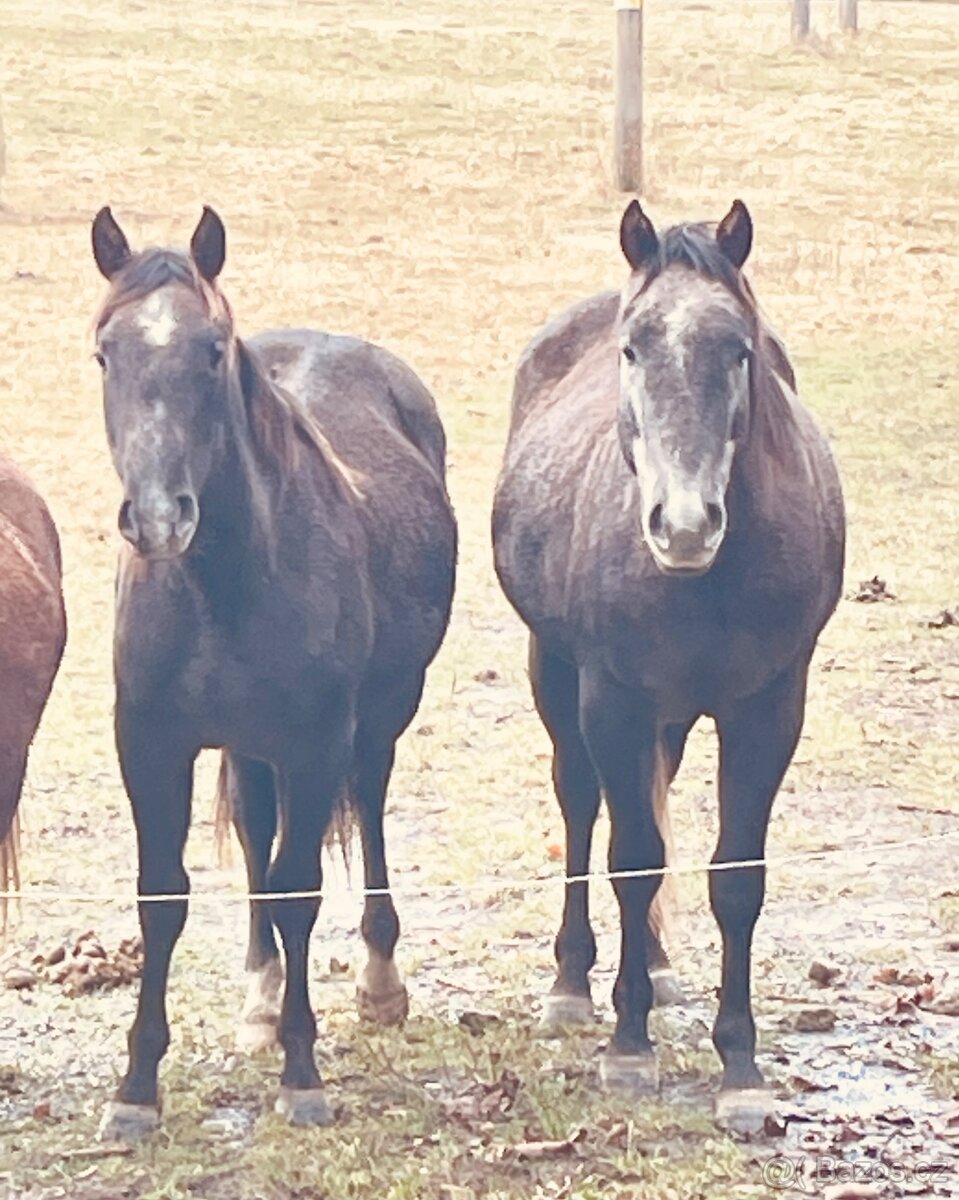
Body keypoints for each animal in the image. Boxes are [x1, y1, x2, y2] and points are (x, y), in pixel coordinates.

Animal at [90, 206, 456, 1139]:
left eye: (212, 349)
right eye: (106, 351)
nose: (158, 517)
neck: (225, 581)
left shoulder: (315, 741)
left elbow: (298, 888)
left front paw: (302, 1075)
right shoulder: (150, 742)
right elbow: (163, 896)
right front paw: (135, 1090)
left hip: (378, 718)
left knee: (368, 810)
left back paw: (378, 984)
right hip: (248, 746)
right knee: (256, 835)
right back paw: (258, 997)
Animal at [492, 199, 844, 1131]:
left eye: (739, 350)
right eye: (632, 347)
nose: (682, 525)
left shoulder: (768, 707)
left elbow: (735, 877)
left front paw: (740, 1068)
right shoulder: (610, 699)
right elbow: (631, 856)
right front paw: (627, 1046)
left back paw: (649, 964)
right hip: (557, 677)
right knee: (582, 807)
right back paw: (574, 982)